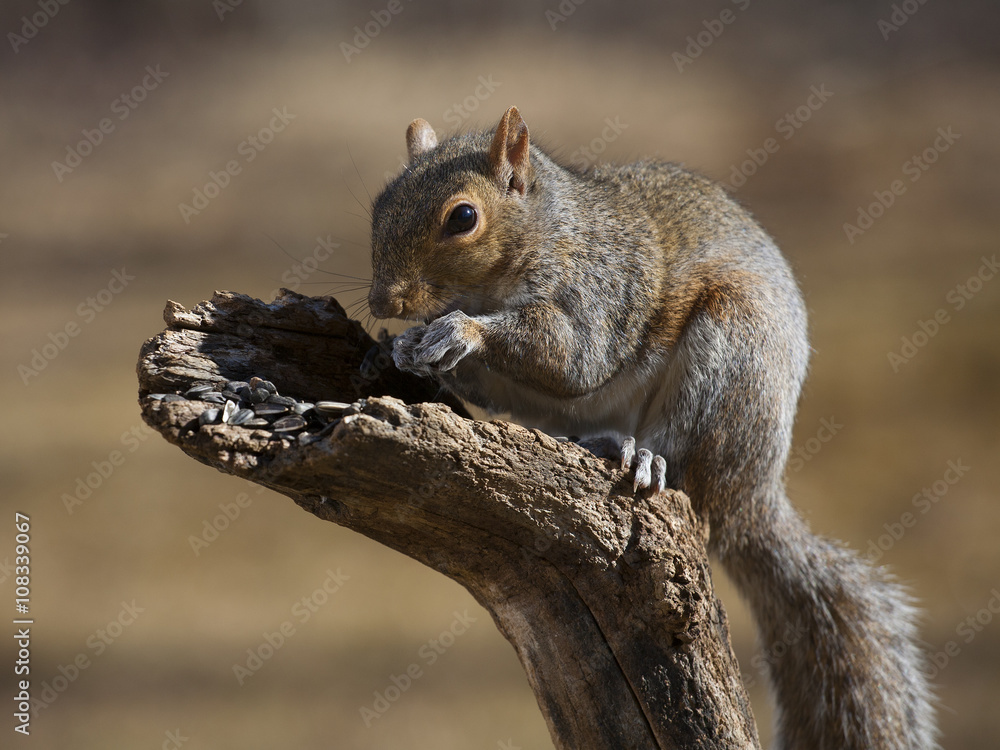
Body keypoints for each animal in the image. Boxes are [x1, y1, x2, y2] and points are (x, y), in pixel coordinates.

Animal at [367, 106, 937, 750]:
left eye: (462, 218)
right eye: (379, 204)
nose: (382, 302)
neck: (544, 234)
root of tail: (751, 497)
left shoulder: (602, 289)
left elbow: (572, 357)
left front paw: (461, 331)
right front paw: (403, 348)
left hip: (730, 350)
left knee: (685, 456)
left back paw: (642, 456)